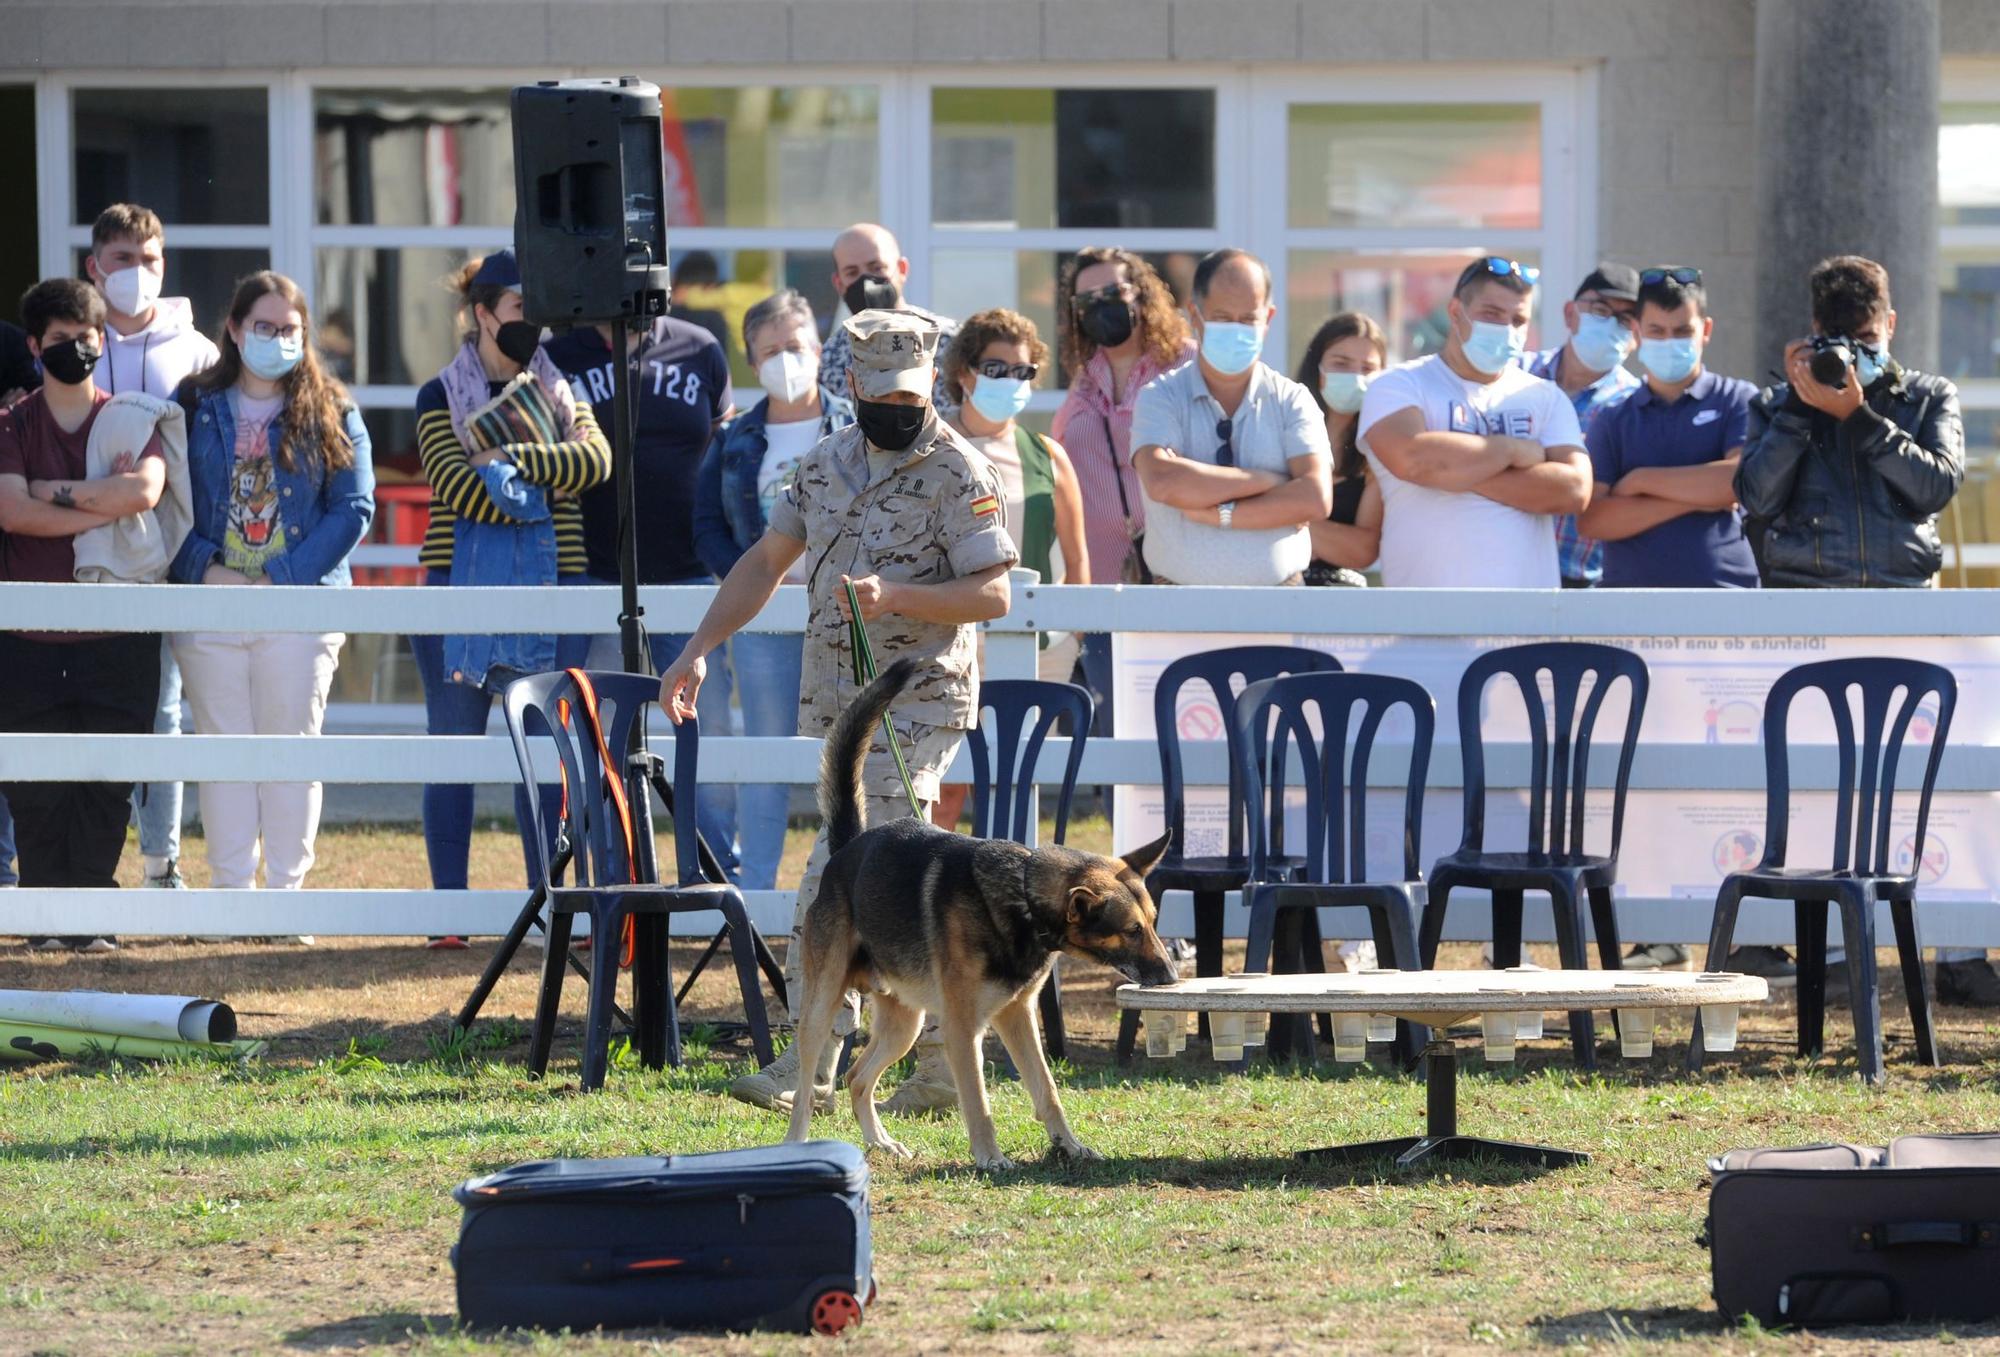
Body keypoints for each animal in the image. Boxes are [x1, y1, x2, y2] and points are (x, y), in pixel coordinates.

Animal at [784, 660, 1184, 1168]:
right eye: (1131, 931)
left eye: (1152, 924)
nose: (1171, 977)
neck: (1023, 900)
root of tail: (847, 850)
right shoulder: (964, 1031)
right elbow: (977, 1100)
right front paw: (991, 1158)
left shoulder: (1018, 1018)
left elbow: (1047, 1090)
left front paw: (1069, 1145)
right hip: (822, 1011)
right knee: (807, 1090)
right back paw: (796, 1146)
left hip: (905, 1025)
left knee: (857, 1077)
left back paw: (881, 1142)